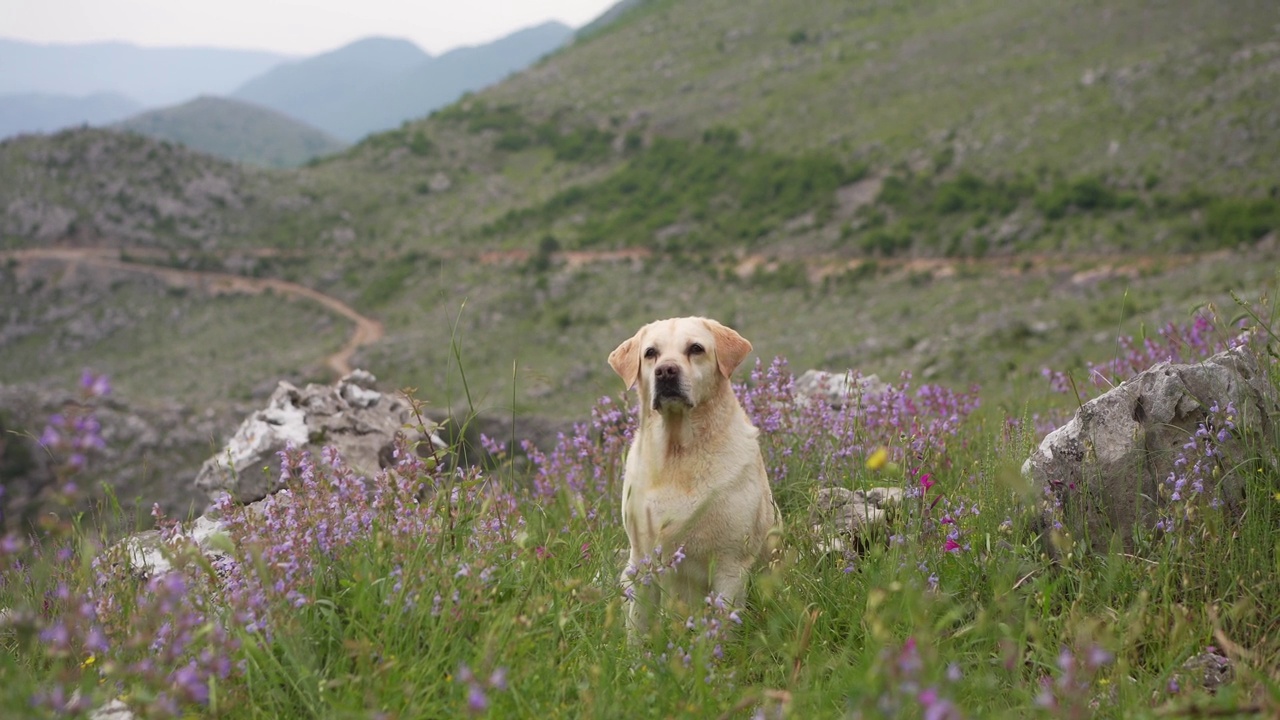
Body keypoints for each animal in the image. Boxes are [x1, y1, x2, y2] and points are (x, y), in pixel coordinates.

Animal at [609, 315, 778, 632]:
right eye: (650, 353)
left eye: (695, 348)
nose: (666, 371)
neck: (679, 453)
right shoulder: (642, 558)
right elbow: (638, 625)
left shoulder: (731, 564)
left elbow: (723, 622)